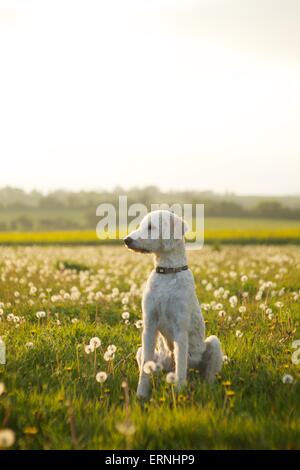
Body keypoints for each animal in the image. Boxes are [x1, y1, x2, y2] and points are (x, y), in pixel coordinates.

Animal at [124, 211, 223, 398]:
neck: (167, 273)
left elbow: (181, 367)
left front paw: (179, 392)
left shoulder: (180, 330)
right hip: (147, 354)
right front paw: (141, 395)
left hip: (213, 344)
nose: (126, 240)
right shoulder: (149, 326)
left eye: (151, 227)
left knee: (206, 376)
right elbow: (145, 369)